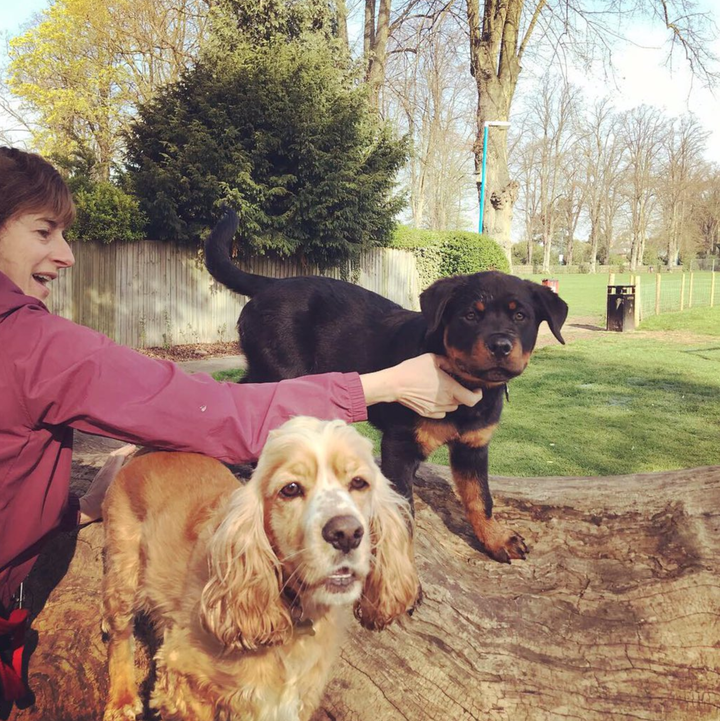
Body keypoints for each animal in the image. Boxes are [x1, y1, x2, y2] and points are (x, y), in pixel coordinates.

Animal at [207, 211, 568, 560]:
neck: (469, 390)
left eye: (520, 316)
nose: (500, 345)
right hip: (283, 369)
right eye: (470, 316)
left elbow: (481, 497)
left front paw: (496, 539)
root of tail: (269, 285)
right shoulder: (400, 445)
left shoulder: (473, 447)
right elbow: (404, 513)